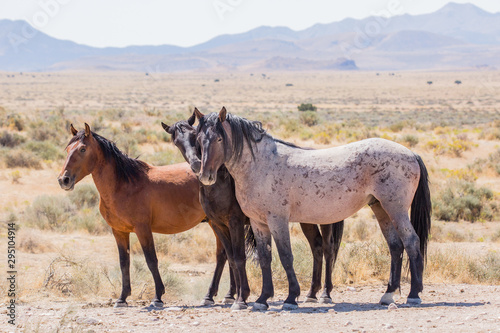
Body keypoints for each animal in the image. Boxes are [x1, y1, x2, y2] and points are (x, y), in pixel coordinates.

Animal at [57, 123, 237, 308]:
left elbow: (151, 260)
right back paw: (222, 295)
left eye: (83, 149)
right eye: (68, 149)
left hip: (218, 222)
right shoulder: (119, 231)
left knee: (224, 254)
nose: (64, 180)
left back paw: (220, 295)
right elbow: (124, 263)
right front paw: (122, 298)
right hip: (216, 223)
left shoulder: (143, 229)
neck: (123, 185)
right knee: (225, 254)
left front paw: (157, 296)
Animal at [162, 112, 346, 306]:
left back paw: (325, 293)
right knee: (316, 247)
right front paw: (230, 294)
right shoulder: (218, 224)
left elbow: (238, 256)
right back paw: (311, 292)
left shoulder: (235, 222)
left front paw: (240, 296)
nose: (198, 165)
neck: (222, 185)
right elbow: (229, 257)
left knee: (327, 248)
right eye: (177, 142)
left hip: (325, 219)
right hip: (307, 220)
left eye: (193, 135)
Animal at [194, 107, 430, 310]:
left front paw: (291, 297)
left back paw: (414, 295)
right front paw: (262, 299)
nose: (205, 176)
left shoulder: (277, 220)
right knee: (395, 246)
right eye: (198, 140)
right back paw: (388, 294)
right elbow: (264, 258)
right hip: (381, 208)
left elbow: (285, 256)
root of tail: (411, 153)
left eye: (219, 139)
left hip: (396, 209)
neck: (260, 164)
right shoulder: (258, 223)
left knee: (411, 242)